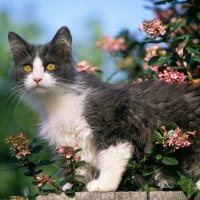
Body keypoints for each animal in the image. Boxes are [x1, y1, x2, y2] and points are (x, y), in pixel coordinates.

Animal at [8, 25, 200, 191]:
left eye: (50, 66)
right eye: (27, 68)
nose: (37, 79)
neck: (55, 101)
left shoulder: (112, 125)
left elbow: (112, 157)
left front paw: (104, 185)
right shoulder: (69, 143)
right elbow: (76, 168)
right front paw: (69, 188)